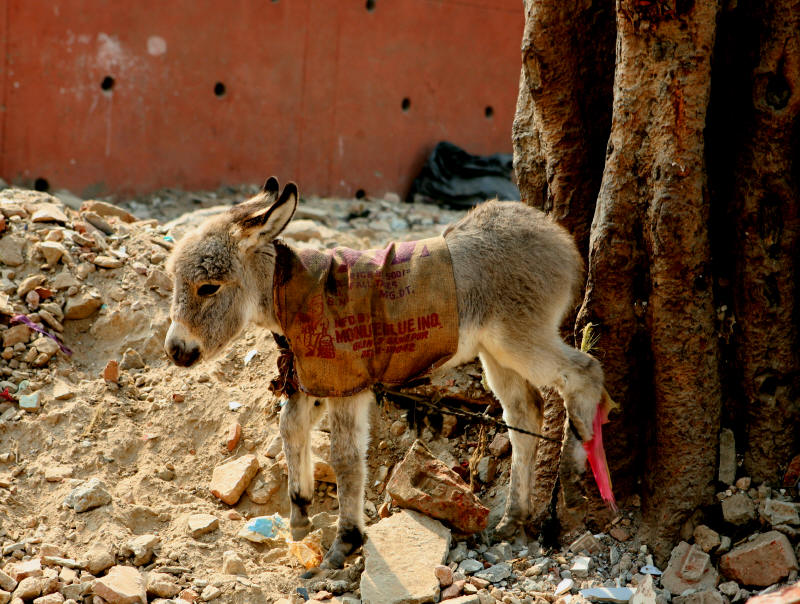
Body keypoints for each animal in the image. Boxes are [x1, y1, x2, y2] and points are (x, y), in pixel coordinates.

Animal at [167, 177, 608, 568]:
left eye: (208, 287)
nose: (174, 351)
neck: (296, 293)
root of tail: (557, 236)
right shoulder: (315, 378)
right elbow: (290, 428)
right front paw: (299, 514)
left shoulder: (348, 384)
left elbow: (345, 459)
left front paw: (345, 542)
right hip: (495, 352)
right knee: (525, 413)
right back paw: (514, 517)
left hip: (520, 337)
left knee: (584, 372)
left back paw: (577, 467)